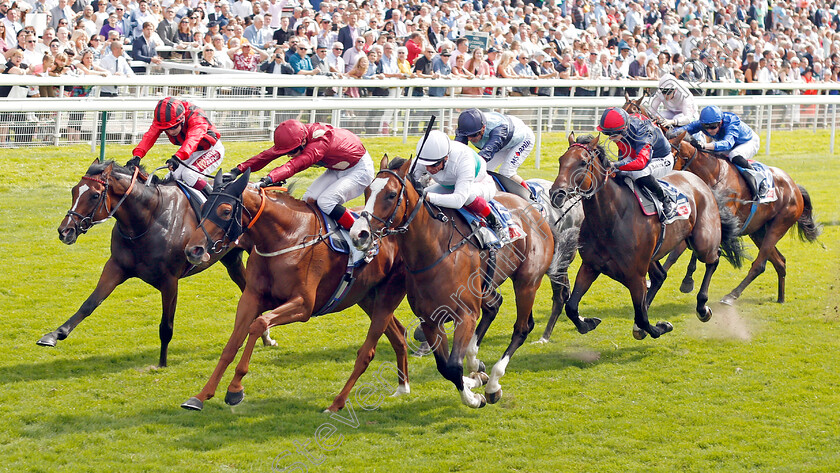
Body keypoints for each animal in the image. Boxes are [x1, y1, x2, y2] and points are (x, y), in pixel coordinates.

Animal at [48, 160, 276, 366]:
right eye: (74, 191)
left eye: (95, 195)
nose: (65, 231)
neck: (148, 220)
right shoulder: (116, 266)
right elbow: (90, 303)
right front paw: (55, 334)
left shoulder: (169, 280)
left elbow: (166, 326)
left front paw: (162, 363)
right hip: (231, 260)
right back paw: (265, 336)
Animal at [180, 169, 410, 410]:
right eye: (203, 208)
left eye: (225, 211)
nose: (193, 249)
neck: (287, 238)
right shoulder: (251, 298)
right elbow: (232, 344)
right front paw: (201, 395)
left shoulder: (303, 305)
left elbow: (259, 324)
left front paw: (235, 389)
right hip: (366, 297)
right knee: (398, 334)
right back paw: (402, 387)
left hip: (389, 293)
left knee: (373, 348)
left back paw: (340, 402)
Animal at [350, 157, 556, 408]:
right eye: (367, 191)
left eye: (390, 194)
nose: (358, 234)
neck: (434, 252)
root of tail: (534, 208)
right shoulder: (430, 320)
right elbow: (445, 367)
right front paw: (473, 381)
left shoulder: (465, 314)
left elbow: (453, 365)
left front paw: (474, 397)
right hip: (486, 285)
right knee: (495, 305)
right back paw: (477, 364)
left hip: (527, 282)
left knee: (522, 327)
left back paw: (493, 383)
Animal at [552, 133, 748, 340]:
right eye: (561, 160)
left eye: (582, 162)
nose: (556, 193)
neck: (610, 219)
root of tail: (700, 182)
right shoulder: (590, 266)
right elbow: (571, 307)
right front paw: (587, 323)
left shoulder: (636, 276)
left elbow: (643, 319)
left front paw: (662, 326)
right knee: (660, 276)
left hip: (703, 241)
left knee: (713, 259)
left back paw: (702, 307)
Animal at [664, 133, 820, 302]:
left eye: (670, 156)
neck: (712, 176)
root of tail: (795, 188)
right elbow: (673, 255)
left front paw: (687, 281)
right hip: (758, 231)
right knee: (780, 261)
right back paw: (780, 298)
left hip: (778, 225)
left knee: (760, 264)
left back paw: (732, 295)